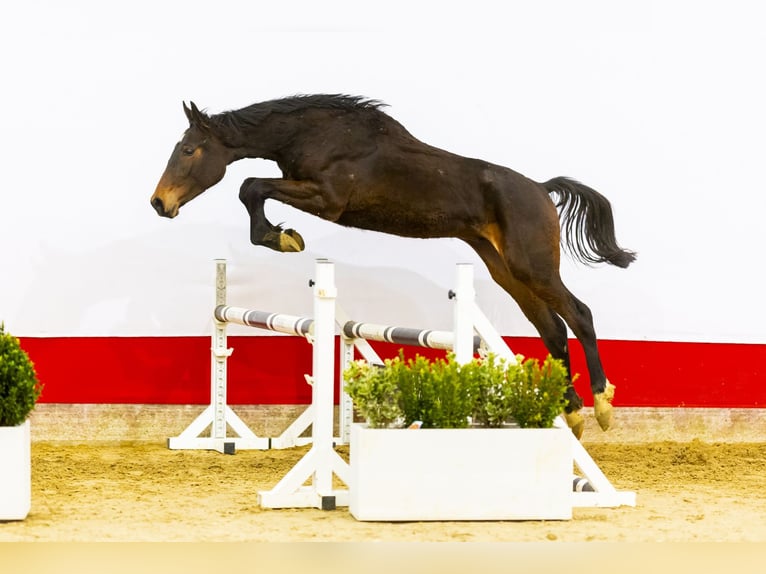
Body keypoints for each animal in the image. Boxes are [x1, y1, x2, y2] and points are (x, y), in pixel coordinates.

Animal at [152, 94, 636, 438]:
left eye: (190, 149)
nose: (159, 203)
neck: (313, 135)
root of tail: (540, 188)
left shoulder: (326, 199)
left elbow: (251, 186)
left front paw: (282, 238)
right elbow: (252, 188)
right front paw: (282, 236)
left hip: (531, 266)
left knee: (579, 315)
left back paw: (602, 403)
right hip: (507, 271)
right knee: (552, 330)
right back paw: (573, 415)